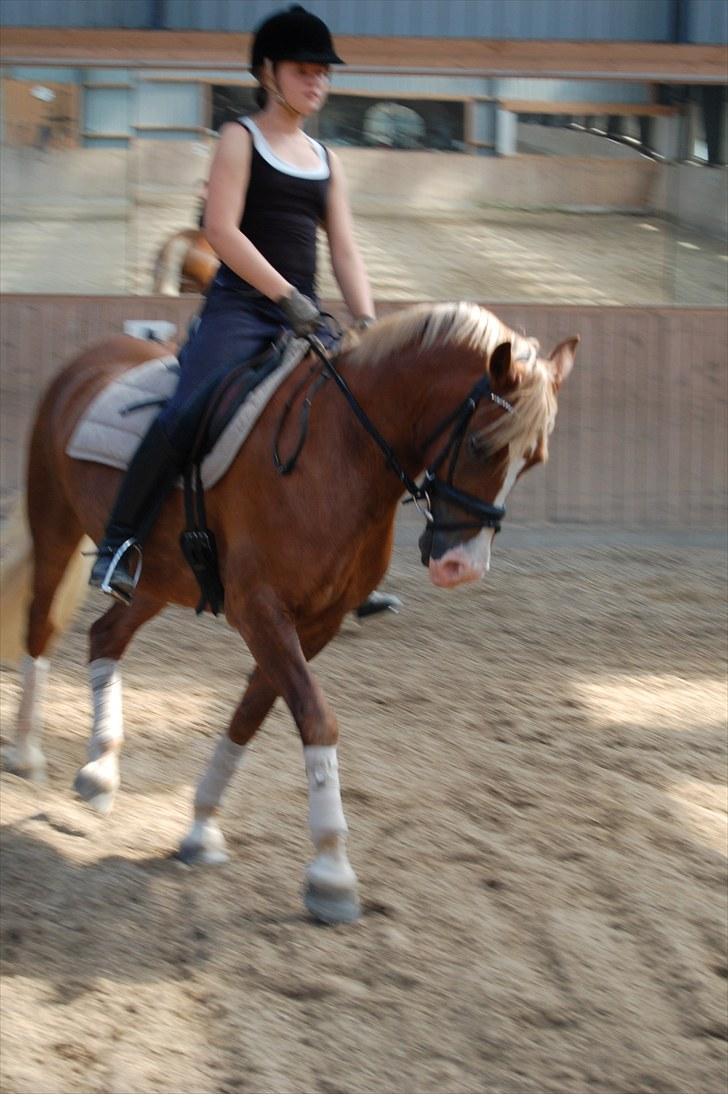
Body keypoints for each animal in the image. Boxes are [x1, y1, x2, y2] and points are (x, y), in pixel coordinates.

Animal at [0, 302, 577, 923]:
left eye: (533, 461)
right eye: (479, 446)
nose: (461, 567)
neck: (341, 450)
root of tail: (87, 358)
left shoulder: (317, 621)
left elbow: (251, 715)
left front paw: (201, 828)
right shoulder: (260, 609)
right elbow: (317, 717)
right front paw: (331, 871)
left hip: (158, 578)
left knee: (104, 636)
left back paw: (100, 770)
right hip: (56, 524)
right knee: (40, 627)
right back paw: (27, 755)